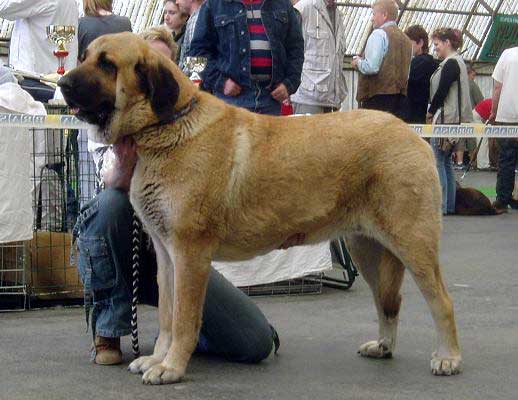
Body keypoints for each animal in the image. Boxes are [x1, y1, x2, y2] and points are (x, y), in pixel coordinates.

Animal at [59, 33, 466, 384]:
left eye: (107, 64)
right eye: (84, 57)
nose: (62, 84)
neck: (165, 124)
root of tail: (411, 134)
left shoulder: (189, 254)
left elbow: (185, 319)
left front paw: (171, 367)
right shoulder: (166, 256)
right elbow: (167, 315)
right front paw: (158, 358)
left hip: (412, 244)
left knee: (442, 302)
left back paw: (448, 357)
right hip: (366, 249)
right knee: (387, 302)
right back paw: (383, 345)